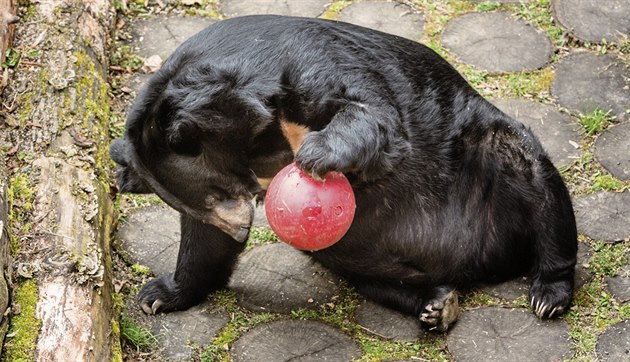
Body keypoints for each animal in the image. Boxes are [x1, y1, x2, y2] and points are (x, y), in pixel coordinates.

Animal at [110, 14, 576, 330]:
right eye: (215, 196)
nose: (242, 230)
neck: (265, 135)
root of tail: (489, 264)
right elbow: (205, 243)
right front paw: (160, 295)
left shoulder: (313, 64)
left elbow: (373, 115)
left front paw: (316, 155)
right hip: (350, 255)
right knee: (378, 280)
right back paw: (436, 303)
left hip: (489, 153)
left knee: (539, 185)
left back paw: (549, 292)